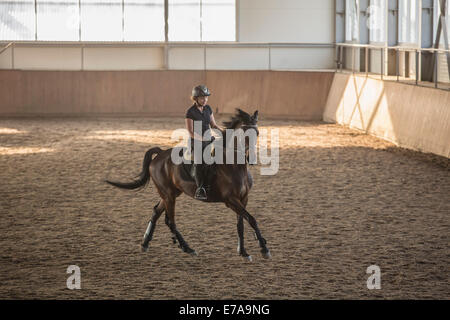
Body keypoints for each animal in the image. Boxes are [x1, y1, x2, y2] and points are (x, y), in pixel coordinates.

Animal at [105, 109, 270, 262]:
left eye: (257, 133)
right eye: (244, 133)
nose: (251, 158)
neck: (234, 166)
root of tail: (160, 154)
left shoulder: (243, 199)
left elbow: (241, 224)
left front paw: (243, 252)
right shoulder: (230, 200)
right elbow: (252, 219)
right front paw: (264, 248)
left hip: (170, 193)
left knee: (156, 212)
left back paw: (145, 243)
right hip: (169, 195)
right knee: (171, 221)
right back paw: (187, 248)